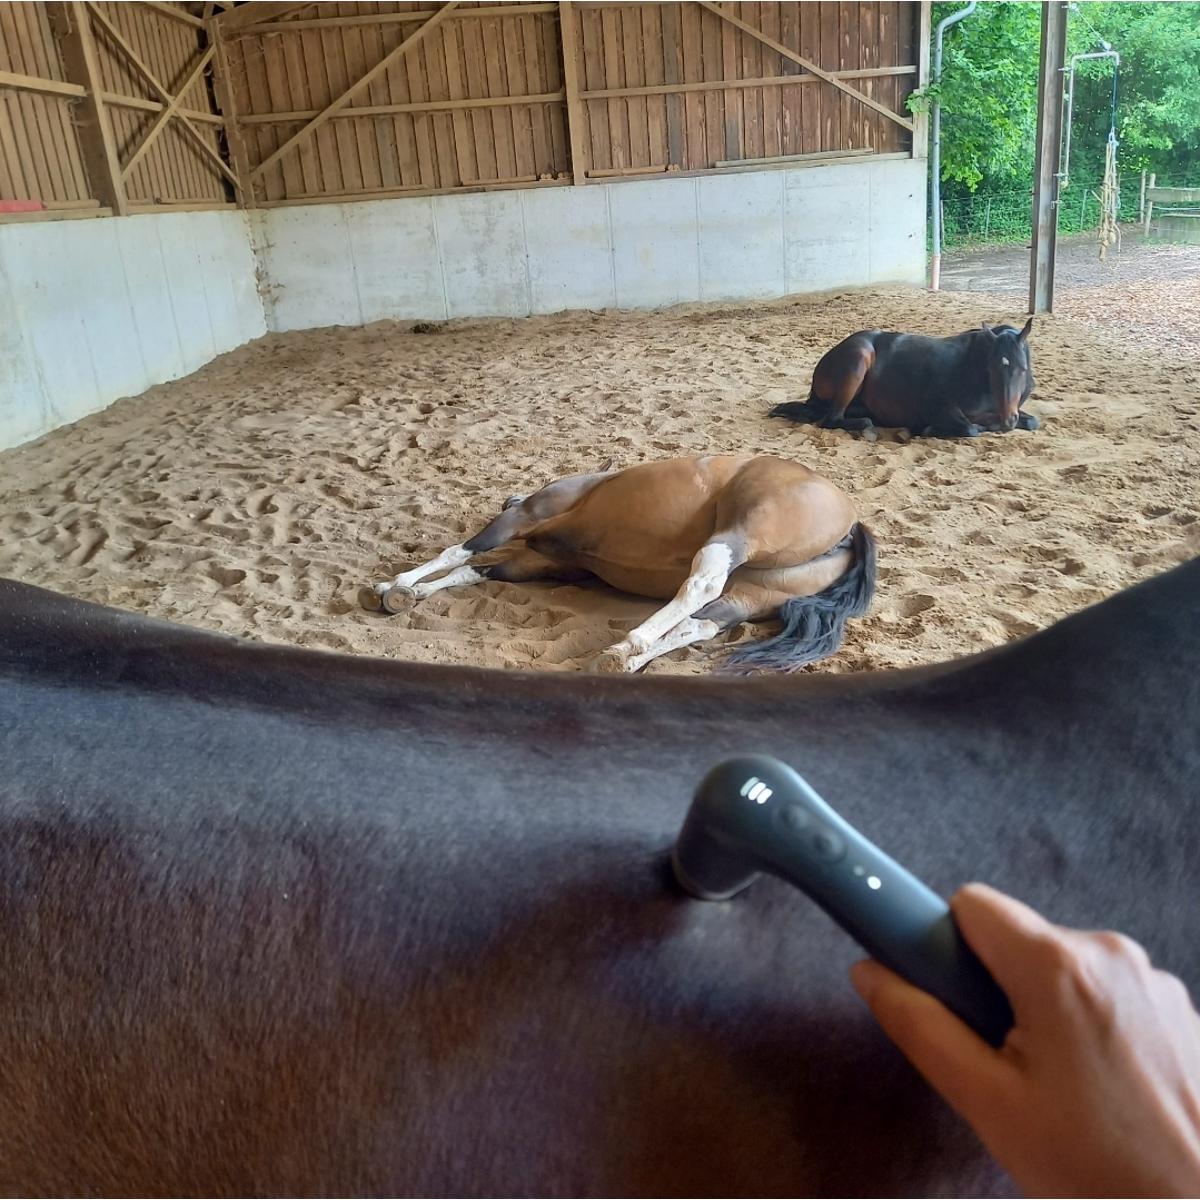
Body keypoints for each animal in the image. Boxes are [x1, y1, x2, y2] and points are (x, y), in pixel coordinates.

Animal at [355, 451, 873, 672]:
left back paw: (632, 642)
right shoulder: (537, 563)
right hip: (751, 593)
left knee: (701, 585)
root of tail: (852, 523)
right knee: (703, 622)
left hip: (739, 534)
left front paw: (394, 585)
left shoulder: (523, 520)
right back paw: (624, 658)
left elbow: (461, 552)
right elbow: (470, 571)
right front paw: (406, 593)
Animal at [772, 319, 1036, 441]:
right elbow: (971, 428)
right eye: (991, 369)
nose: (1008, 420)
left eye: (1023, 369)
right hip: (859, 358)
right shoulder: (939, 407)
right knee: (832, 419)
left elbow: (1033, 421)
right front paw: (928, 429)